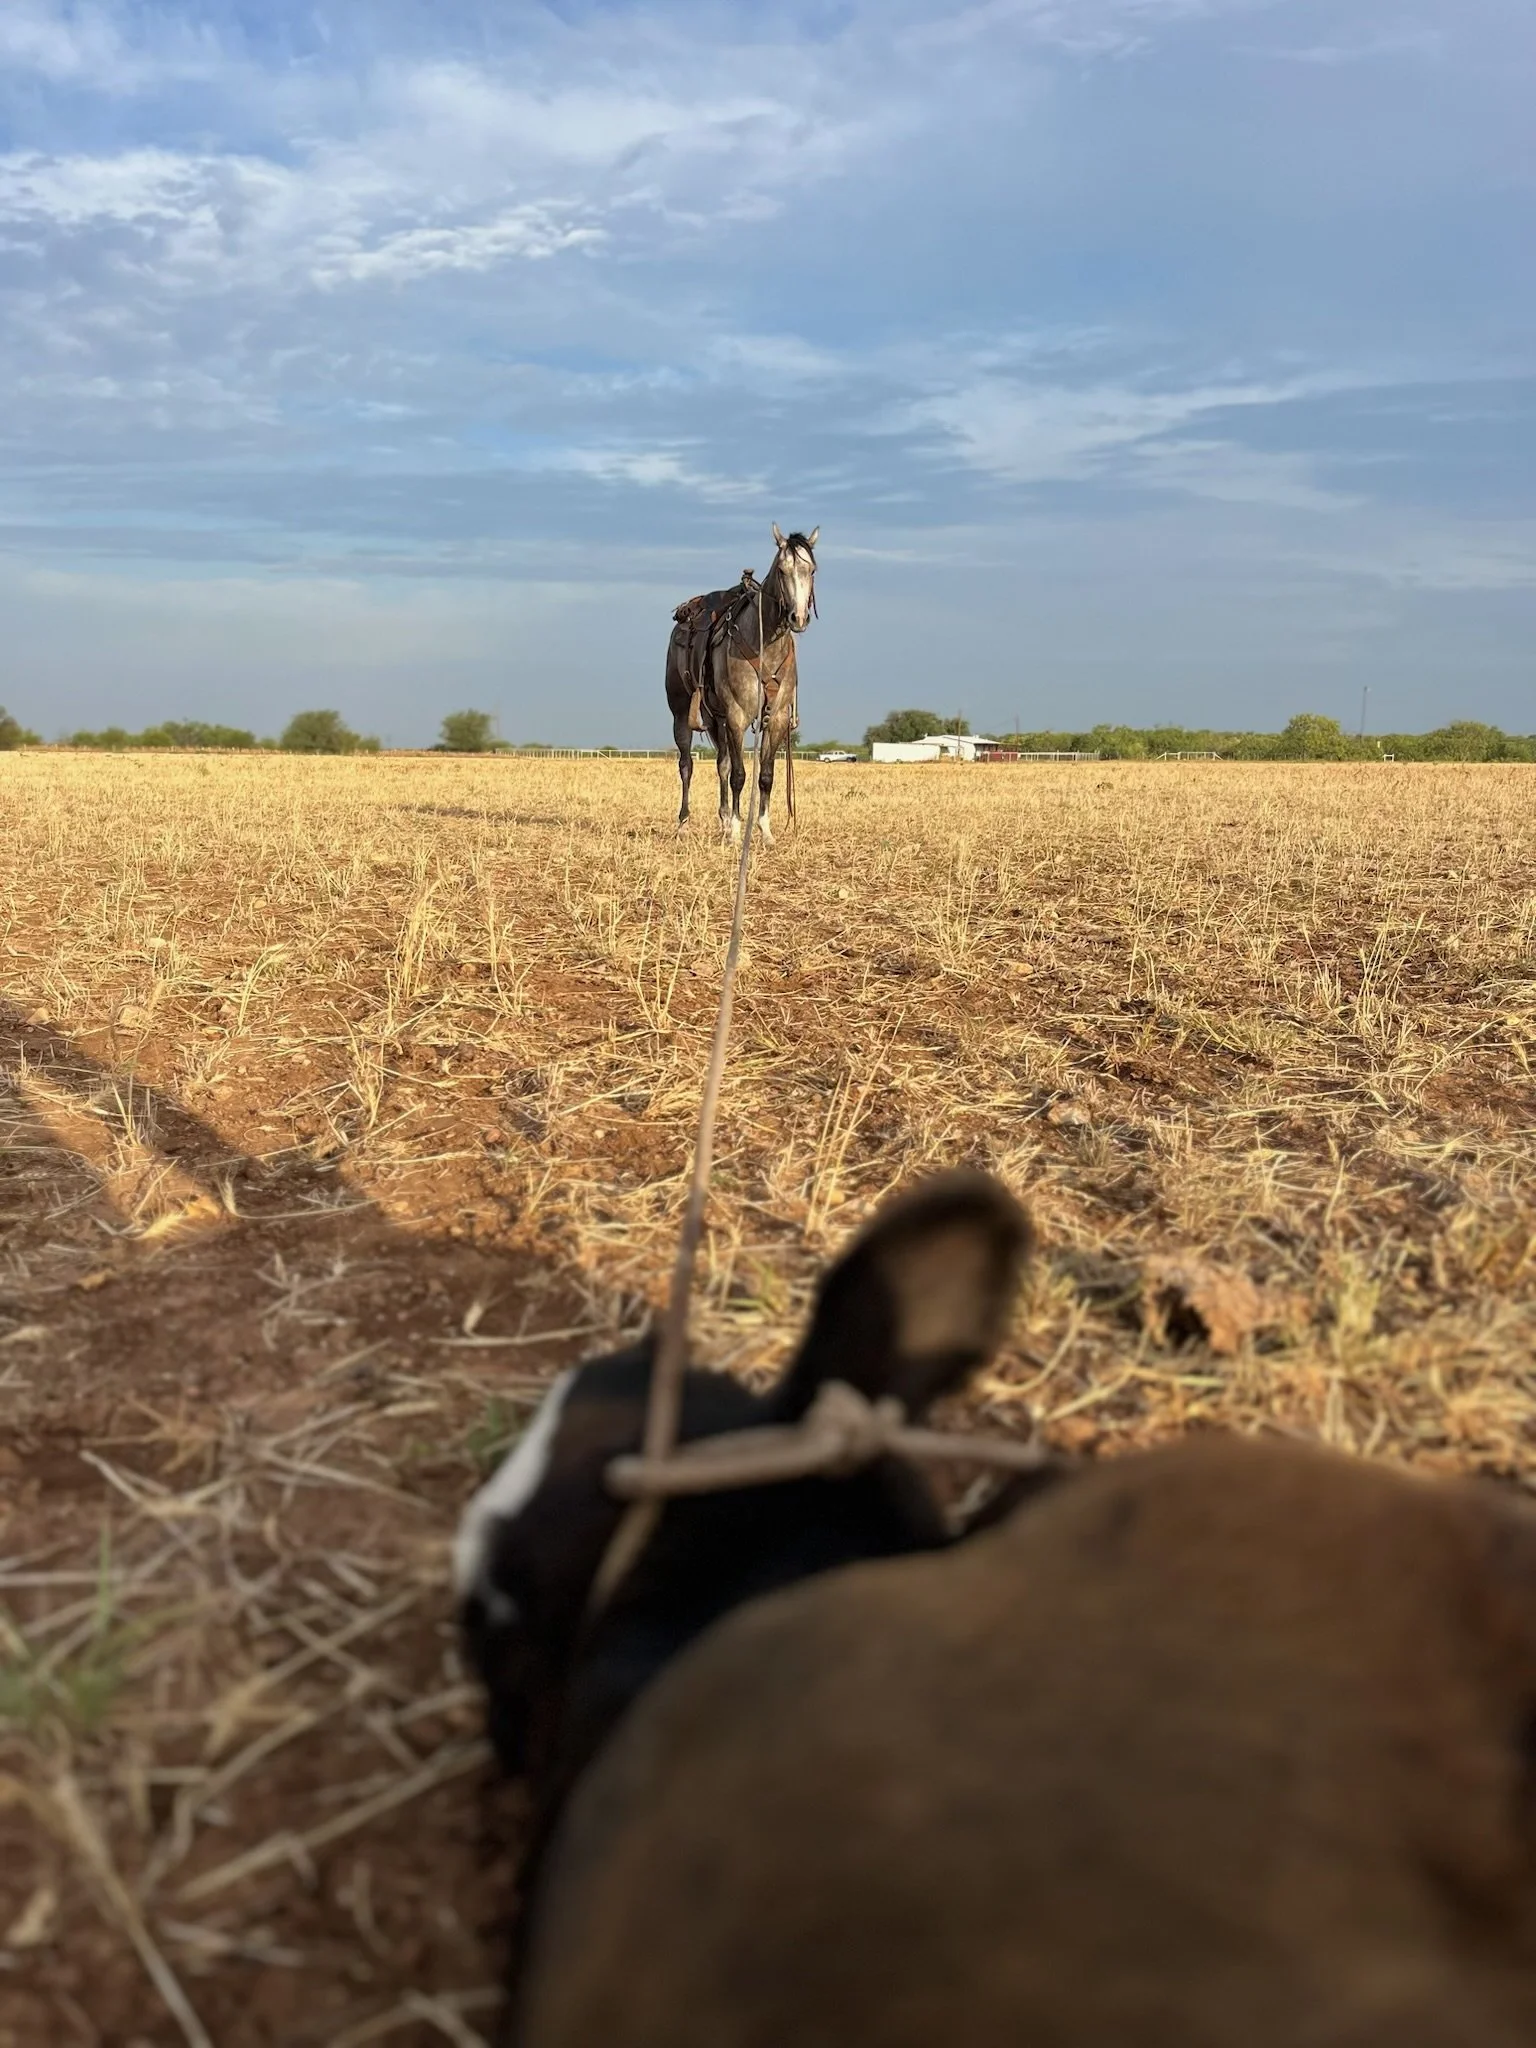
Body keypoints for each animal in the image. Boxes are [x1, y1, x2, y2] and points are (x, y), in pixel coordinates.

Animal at [665, 524, 818, 841]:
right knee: (687, 765)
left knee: (721, 764)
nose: (798, 618)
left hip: (716, 720)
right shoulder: (737, 716)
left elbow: (765, 776)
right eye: (782, 570)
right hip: (682, 714)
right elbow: (739, 775)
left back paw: (723, 819)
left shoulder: (776, 718)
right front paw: (737, 831)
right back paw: (684, 823)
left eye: (811, 570)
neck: (763, 645)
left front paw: (764, 830)